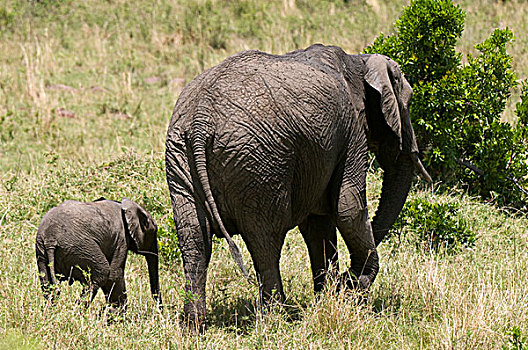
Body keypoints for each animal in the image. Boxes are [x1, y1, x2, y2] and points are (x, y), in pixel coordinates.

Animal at [165, 43, 428, 330]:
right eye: (408, 103)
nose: (346, 279)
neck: (359, 60)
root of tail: (201, 121)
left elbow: (318, 224)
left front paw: (329, 296)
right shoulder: (350, 133)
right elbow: (347, 208)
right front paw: (352, 288)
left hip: (180, 157)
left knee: (195, 242)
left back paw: (194, 326)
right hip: (260, 164)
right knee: (265, 242)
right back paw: (277, 317)